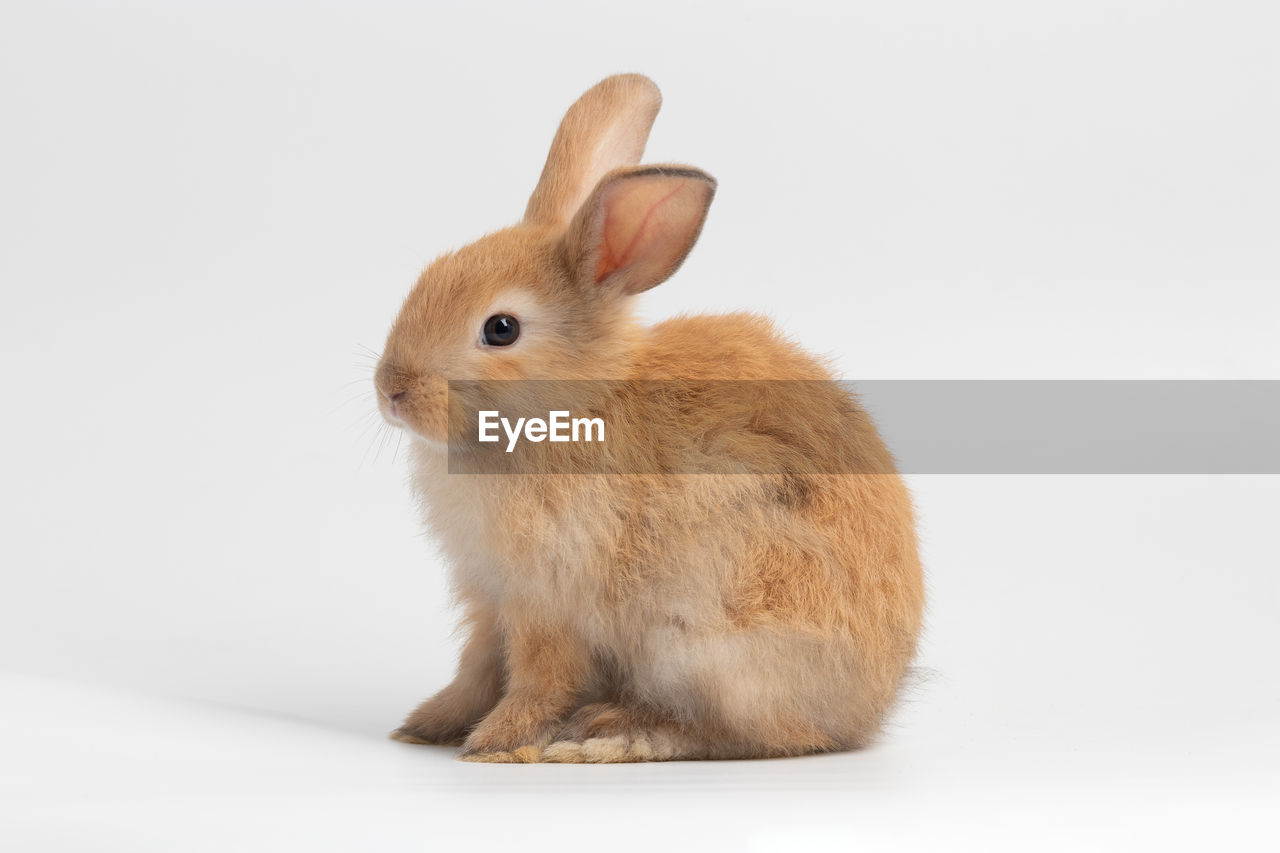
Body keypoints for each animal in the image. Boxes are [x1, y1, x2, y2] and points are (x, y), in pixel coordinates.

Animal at [373, 74, 926, 763]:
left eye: (500, 329)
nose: (391, 389)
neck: (575, 406)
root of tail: (868, 710)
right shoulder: (489, 596)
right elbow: (475, 668)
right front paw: (426, 725)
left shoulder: (548, 601)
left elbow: (538, 678)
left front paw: (496, 745)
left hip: (710, 645)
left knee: (735, 732)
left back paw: (608, 733)